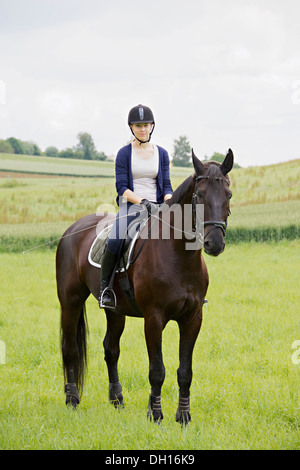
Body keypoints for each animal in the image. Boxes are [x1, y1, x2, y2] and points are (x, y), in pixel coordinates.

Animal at [56, 149, 234, 424]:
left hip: (115, 310)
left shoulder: (193, 318)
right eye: (200, 195)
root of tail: (73, 229)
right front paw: (156, 414)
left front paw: (183, 417)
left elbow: (185, 371)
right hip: (70, 301)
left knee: (111, 349)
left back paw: (117, 401)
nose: (214, 243)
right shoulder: (154, 318)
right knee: (70, 349)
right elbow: (157, 369)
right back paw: (72, 400)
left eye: (228, 195)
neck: (178, 255)